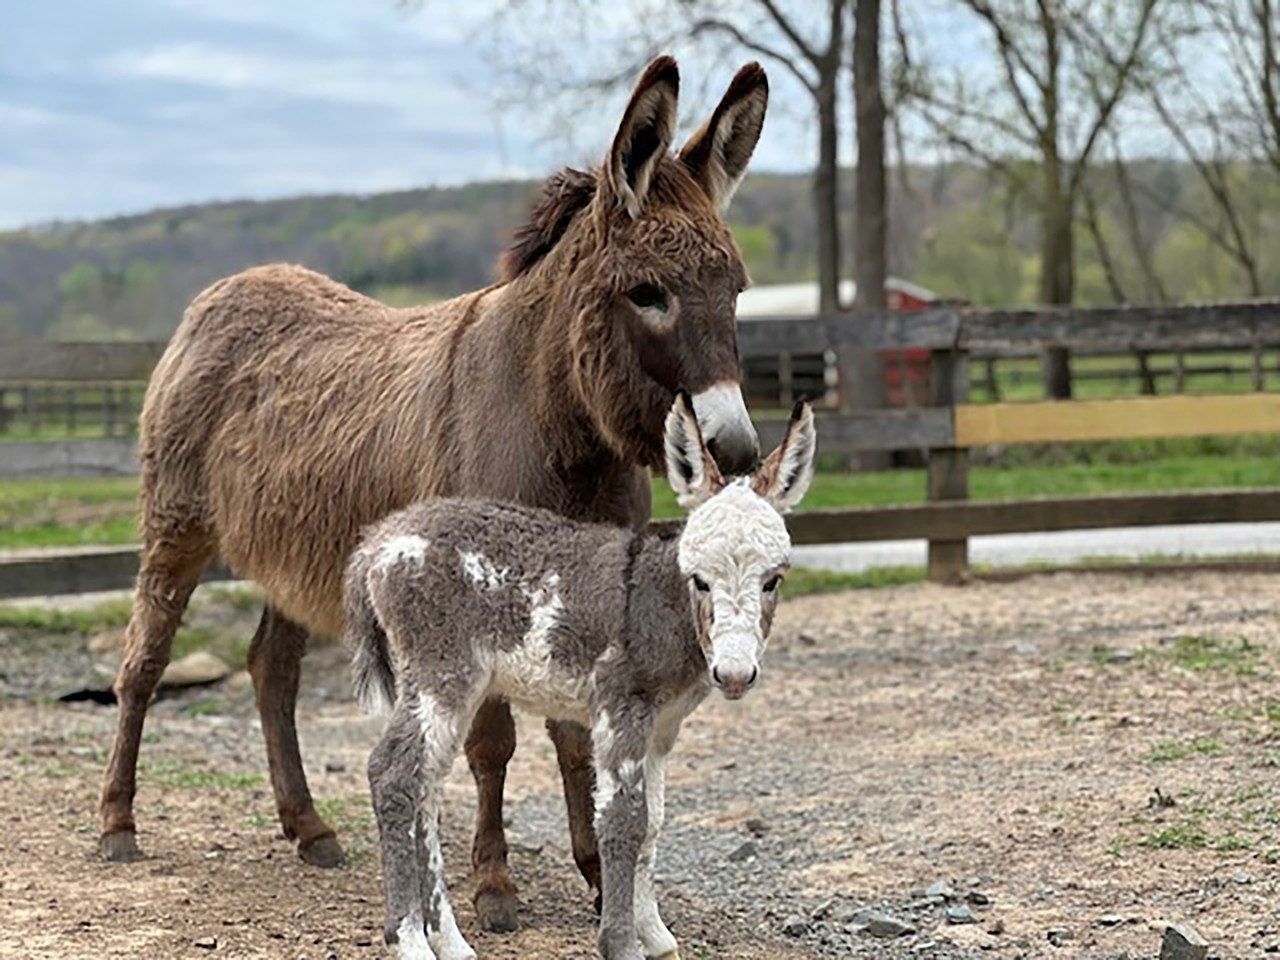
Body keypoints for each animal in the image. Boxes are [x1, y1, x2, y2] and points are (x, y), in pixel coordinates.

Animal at [345, 394, 814, 957]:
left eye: (773, 580)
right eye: (699, 580)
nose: (736, 675)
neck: (662, 599)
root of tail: (378, 540)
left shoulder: (662, 727)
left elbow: (654, 821)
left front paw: (655, 933)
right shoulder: (620, 706)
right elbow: (622, 820)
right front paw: (622, 942)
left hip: (457, 688)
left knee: (426, 787)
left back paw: (451, 942)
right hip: (440, 673)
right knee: (393, 775)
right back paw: (410, 940)